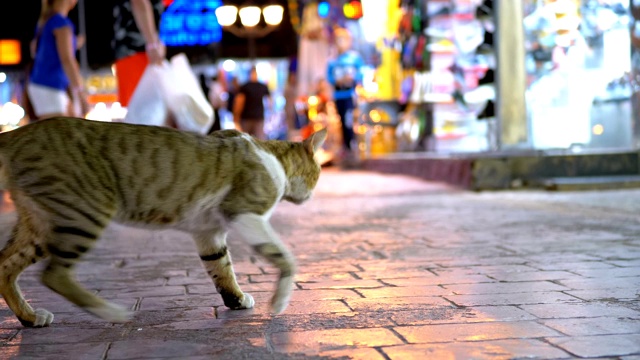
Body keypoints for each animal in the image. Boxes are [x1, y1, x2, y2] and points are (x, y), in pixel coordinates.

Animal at [0, 117, 328, 326]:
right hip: (85, 211)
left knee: (5, 266)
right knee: (54, 275)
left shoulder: (208, 232)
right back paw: (110, 312)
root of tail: (20, 133)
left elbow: (221, 268)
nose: (313, 195)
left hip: (41, 224)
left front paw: (235, 300)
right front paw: (279, 301)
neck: (271, 157)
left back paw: (30, 318)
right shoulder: (245, 213)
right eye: (317, 175)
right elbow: (286, 258)